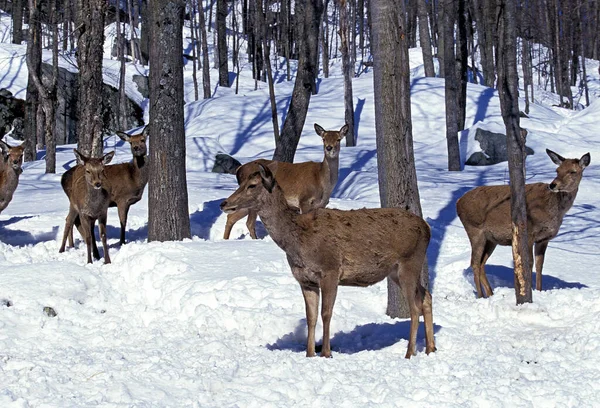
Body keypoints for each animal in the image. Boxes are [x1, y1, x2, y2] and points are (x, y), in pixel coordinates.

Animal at [220, 163, 436, 360]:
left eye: (252, 185)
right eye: (241, 182)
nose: (224, 203)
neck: (298, 242)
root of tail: (427, 228)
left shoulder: (330, 270)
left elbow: (326, 313)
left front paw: (326, 353)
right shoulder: (305, 280)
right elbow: (311, 317)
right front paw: (309, 354)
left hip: (409, 262)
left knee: (414, 307)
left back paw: (410, 352)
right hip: (396, 271)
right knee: (426, 296)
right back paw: (430, 348)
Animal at [460, 149, 592, 296]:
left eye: (573, 171)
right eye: (557, 170)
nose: (553, 184)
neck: (554, 211)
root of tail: (458, 202)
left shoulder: (543, 239)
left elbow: (540, 265)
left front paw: (539, 290)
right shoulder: (528, 231)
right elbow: (529, 263)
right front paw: (530, 291)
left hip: (491, 239)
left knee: (481, 263)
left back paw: (490, 293)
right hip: (474, 230)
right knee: (474, 263)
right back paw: (481, 296)